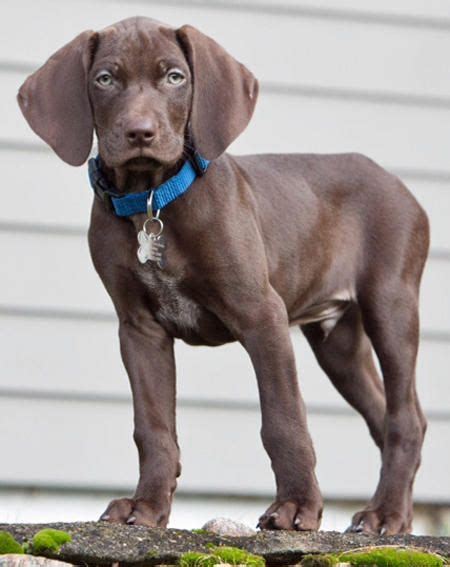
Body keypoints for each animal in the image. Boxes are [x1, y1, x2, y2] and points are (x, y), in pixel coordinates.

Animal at [17, 15, 428, 536]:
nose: (140, 133)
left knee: (406, 418)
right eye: (105, 79)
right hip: (338, 343)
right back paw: (395, 517)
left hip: (390, 304)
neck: (152, 199)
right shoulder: (138, 329)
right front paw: (145, 506)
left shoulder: (262, 315)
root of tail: (397, 183)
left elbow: (283, 419)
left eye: (175, 77)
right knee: (383, 416)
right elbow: (153, 427)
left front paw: (296, 507)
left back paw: (386, 513)